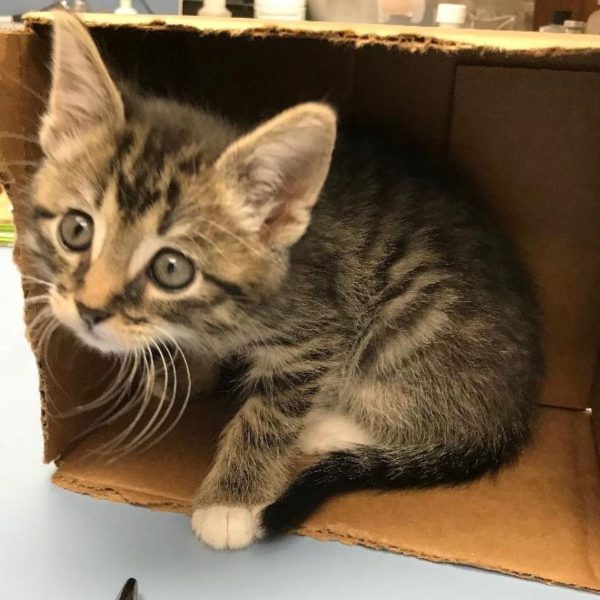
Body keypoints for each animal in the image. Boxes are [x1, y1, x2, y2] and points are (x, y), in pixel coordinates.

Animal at [19, 12, 544, 548]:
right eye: (76, 230)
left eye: (171, 269)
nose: (89, 310)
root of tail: (517, 409)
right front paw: (183, 369)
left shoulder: (317, 332)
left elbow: (269, 414)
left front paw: (231, 501)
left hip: (413, 316)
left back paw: (328, 426)